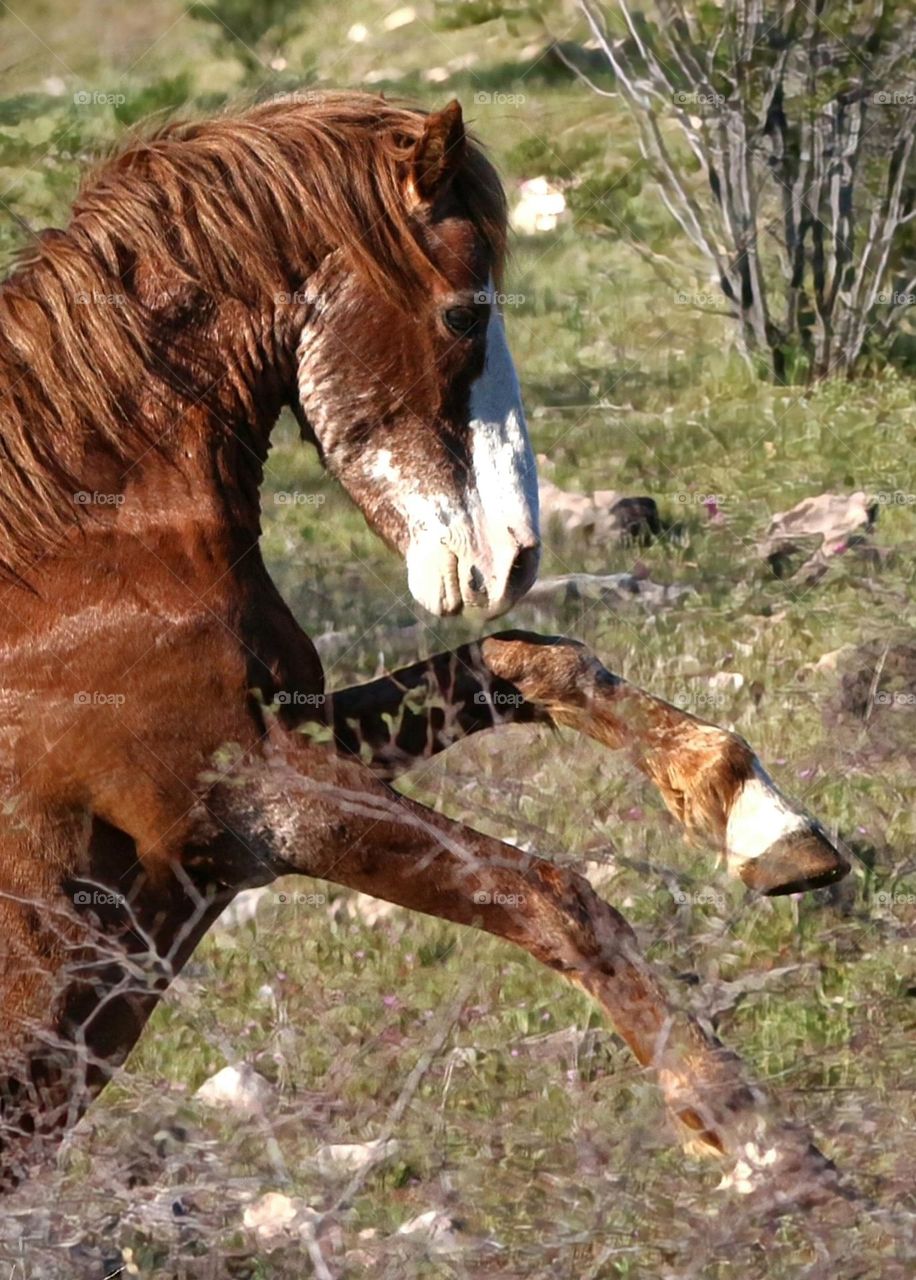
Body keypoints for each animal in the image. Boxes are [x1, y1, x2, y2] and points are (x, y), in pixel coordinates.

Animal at [0, 91, 849, 1196]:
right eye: (464, 314)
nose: (511, 555)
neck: (83, 560)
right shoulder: (257, 804)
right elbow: (554, 895)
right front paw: (754, 1133)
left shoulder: (298, 731)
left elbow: (534, 662)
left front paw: (763, 824)